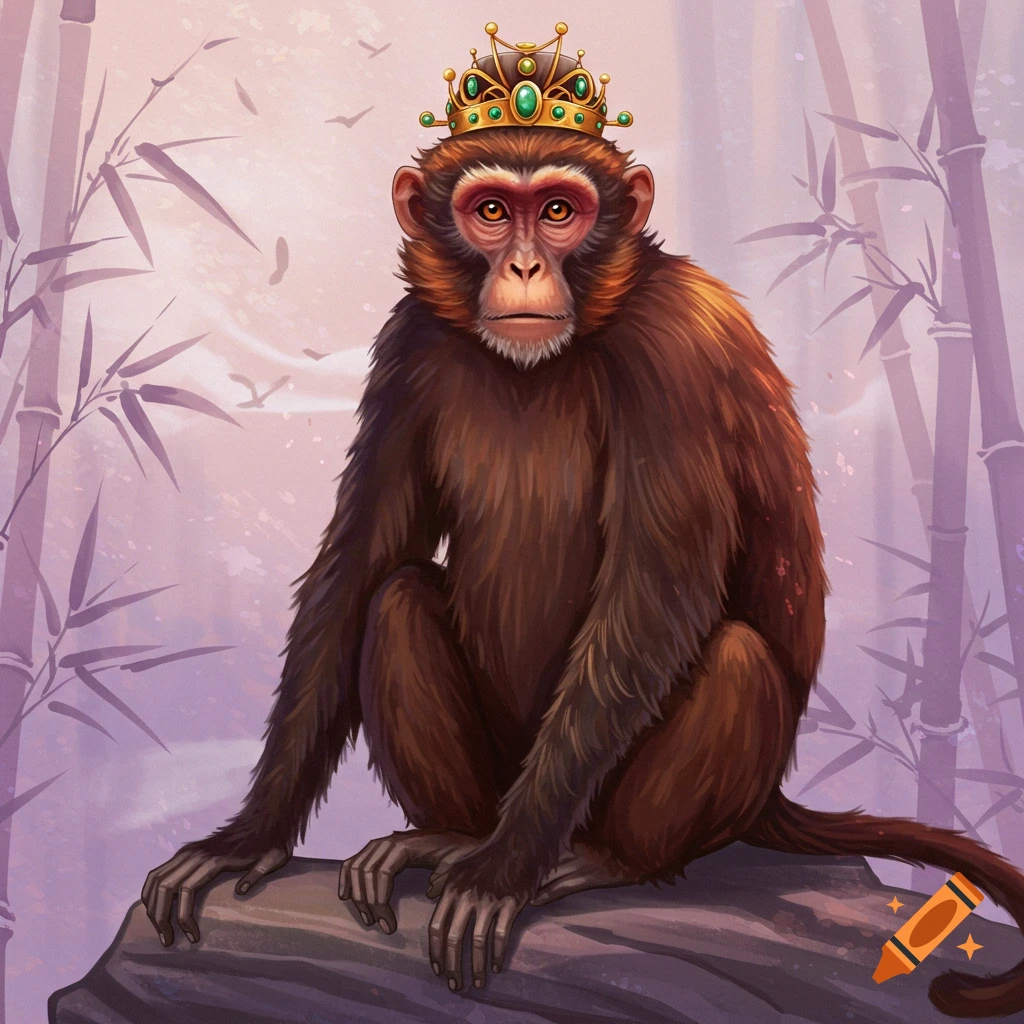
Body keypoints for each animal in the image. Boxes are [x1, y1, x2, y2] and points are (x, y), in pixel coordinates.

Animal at [142, 124, 1024, 1016]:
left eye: (561, 211)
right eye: (493, 212)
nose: (528, 265)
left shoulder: (673, 352)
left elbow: (655, 592)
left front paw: (505, 870)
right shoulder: (410, 341)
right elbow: (361, 561)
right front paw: (249, 835)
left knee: (734, 657)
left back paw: (600, 860)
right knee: (398, 598)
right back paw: (446, 837)